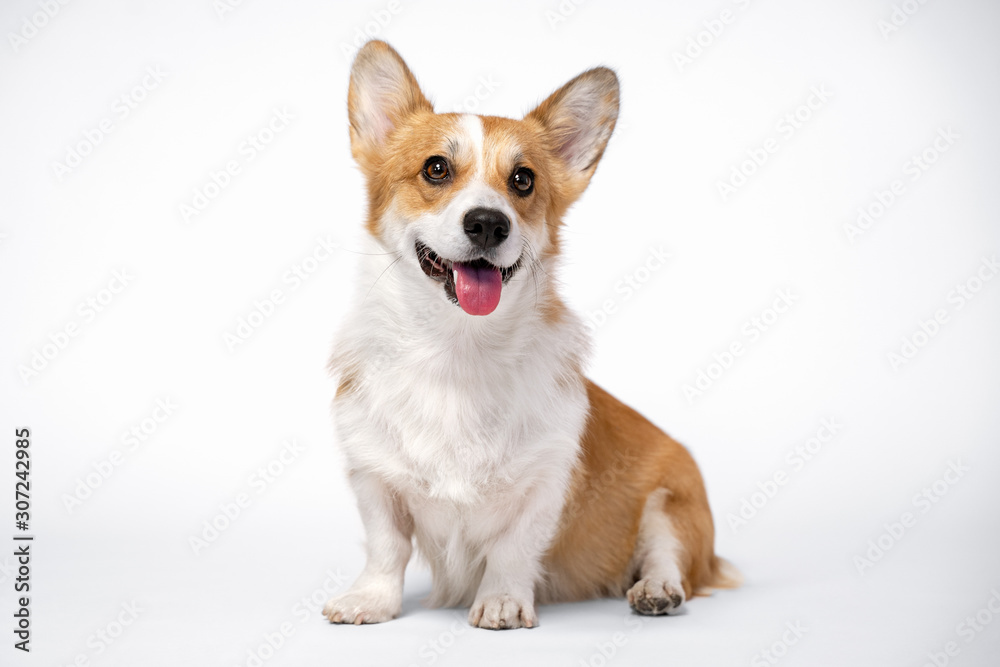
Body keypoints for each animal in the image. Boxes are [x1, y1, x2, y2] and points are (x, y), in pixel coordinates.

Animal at [324, 41, 740, 632]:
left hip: (673, 504)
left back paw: (656, 590)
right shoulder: (374, 476)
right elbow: (386, 547)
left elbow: (512, 549)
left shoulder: (545, 484)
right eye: (435, 168)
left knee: (668, 554)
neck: (459, 348)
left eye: (523, 179)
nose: (487, 223)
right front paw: (371, 600)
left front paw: (501, 601)